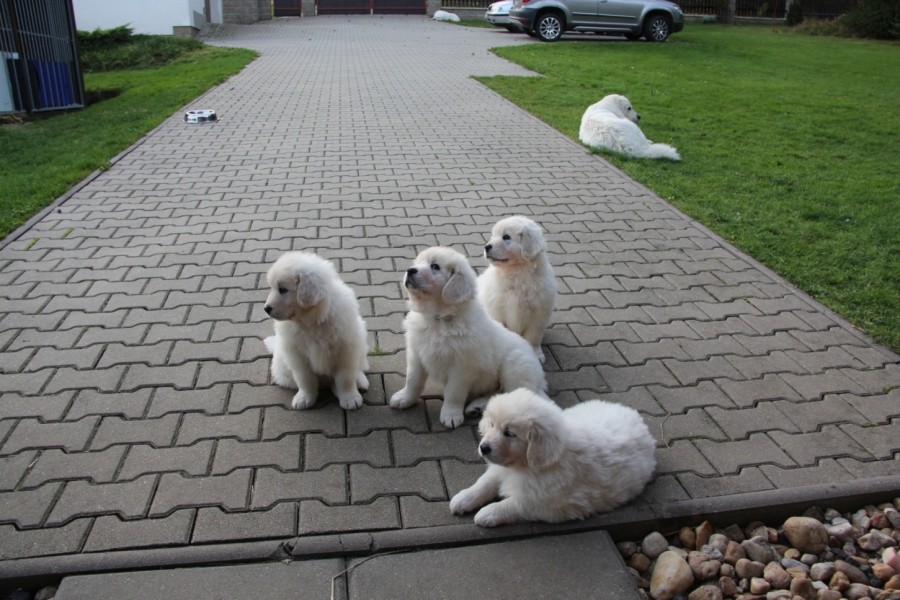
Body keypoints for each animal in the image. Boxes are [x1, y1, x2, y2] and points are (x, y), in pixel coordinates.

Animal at [263, 252, 369, 411]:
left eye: (282, 289)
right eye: (273, 287)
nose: (266, 308)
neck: (312, 321)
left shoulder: (346, 351)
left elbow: (345, 377)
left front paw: (350, 398)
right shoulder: (297, 356)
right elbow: (305, 379)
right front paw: (305, 398)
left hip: (361, 339)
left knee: (358, 368)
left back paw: (360, 381)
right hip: (283, 370)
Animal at [389, 247, 547, 429]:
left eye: (435, 266)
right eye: (418, 263)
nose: (410, 270)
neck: (439, 318)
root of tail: (540, 381)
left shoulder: (462, 367)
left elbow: (454, 392)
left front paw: (451, 414)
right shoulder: (417, 354)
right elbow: (413, 380)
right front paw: (405, 398)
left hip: (515, 366)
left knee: (510, 397)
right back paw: (476, 407)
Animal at [449, 388, 657, 527]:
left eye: (509, 433)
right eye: (492, 425)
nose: (483, 448)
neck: (524, 466)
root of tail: (632, 413)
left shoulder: (547, 503)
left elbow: (514, 504)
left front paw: (488, 513)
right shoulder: (500, 470)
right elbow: (485, 482)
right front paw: (463, 498)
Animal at [479, 216, 557, 364]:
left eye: (506, 237)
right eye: (494, 235)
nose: (486, 247)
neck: (516, 273)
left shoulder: (539, 314)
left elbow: (534, 336)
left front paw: (535, 354)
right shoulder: (496, 310)